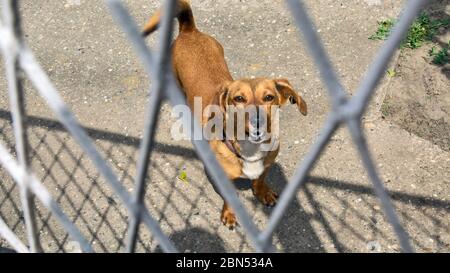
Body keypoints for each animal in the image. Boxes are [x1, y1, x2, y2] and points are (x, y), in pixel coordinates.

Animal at [142, 0, 308, 227]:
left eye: (269, 97)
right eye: (238, 99)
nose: (257, 121)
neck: (249, 149)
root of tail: (190, 31)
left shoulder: (266, 165)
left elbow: (260, 179)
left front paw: (262, 192)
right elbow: (231, 198)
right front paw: (229, 214)